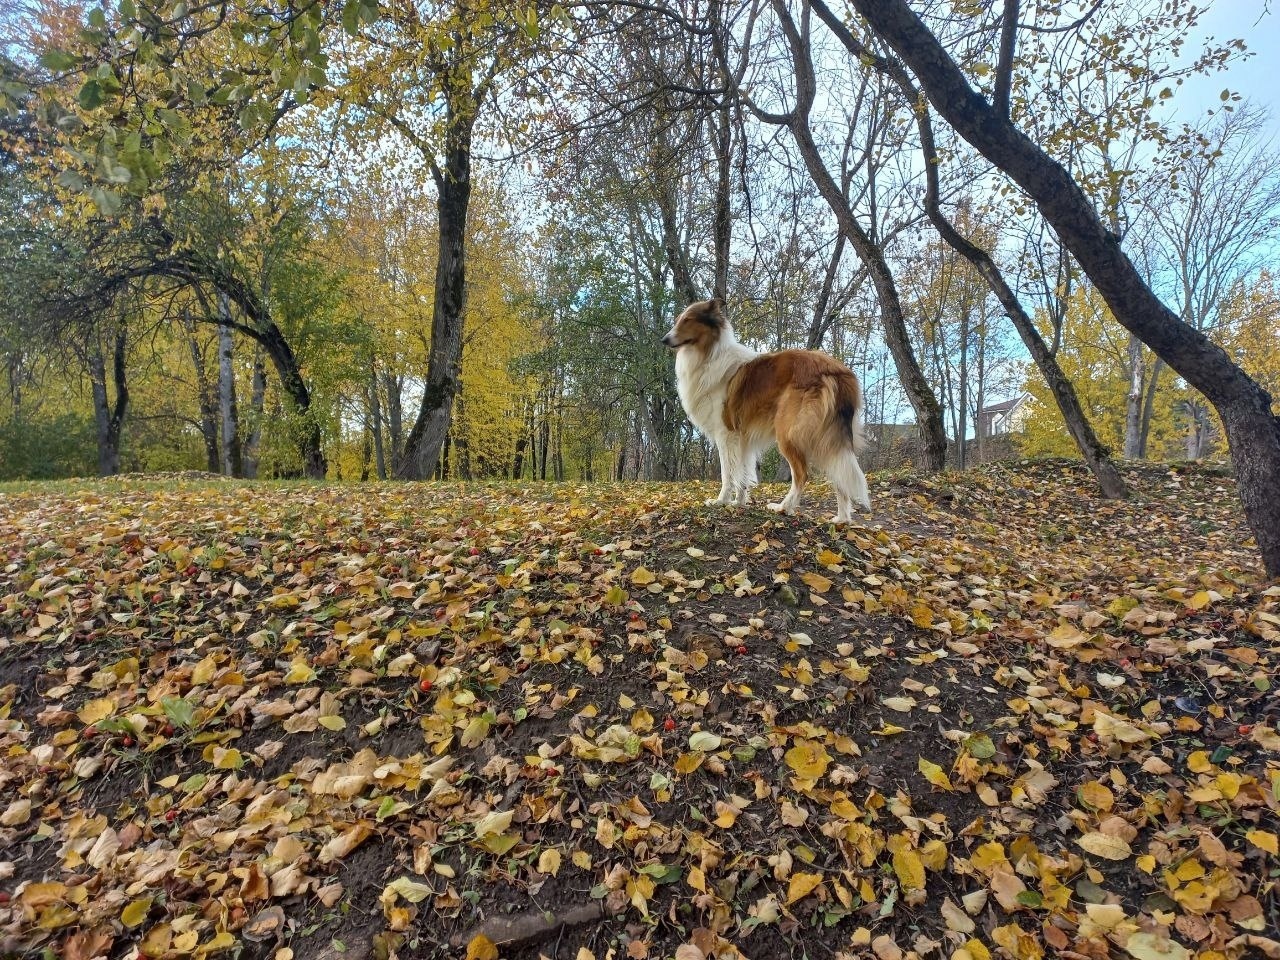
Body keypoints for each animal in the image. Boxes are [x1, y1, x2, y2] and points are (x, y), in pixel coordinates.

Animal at [660, 300, 870, 527]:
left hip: (789, 433)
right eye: (678, 320)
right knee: (840, 474)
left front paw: (721, 501)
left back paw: (784, 507)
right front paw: (739, 503)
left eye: (688, 320)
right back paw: (842, 519)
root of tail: (838, 371)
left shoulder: (725, 433)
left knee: (802, 474)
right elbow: (743, 473)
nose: (664, 340)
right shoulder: (742, 438)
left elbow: (728, 473)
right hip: (828, 437)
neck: (710, 354)